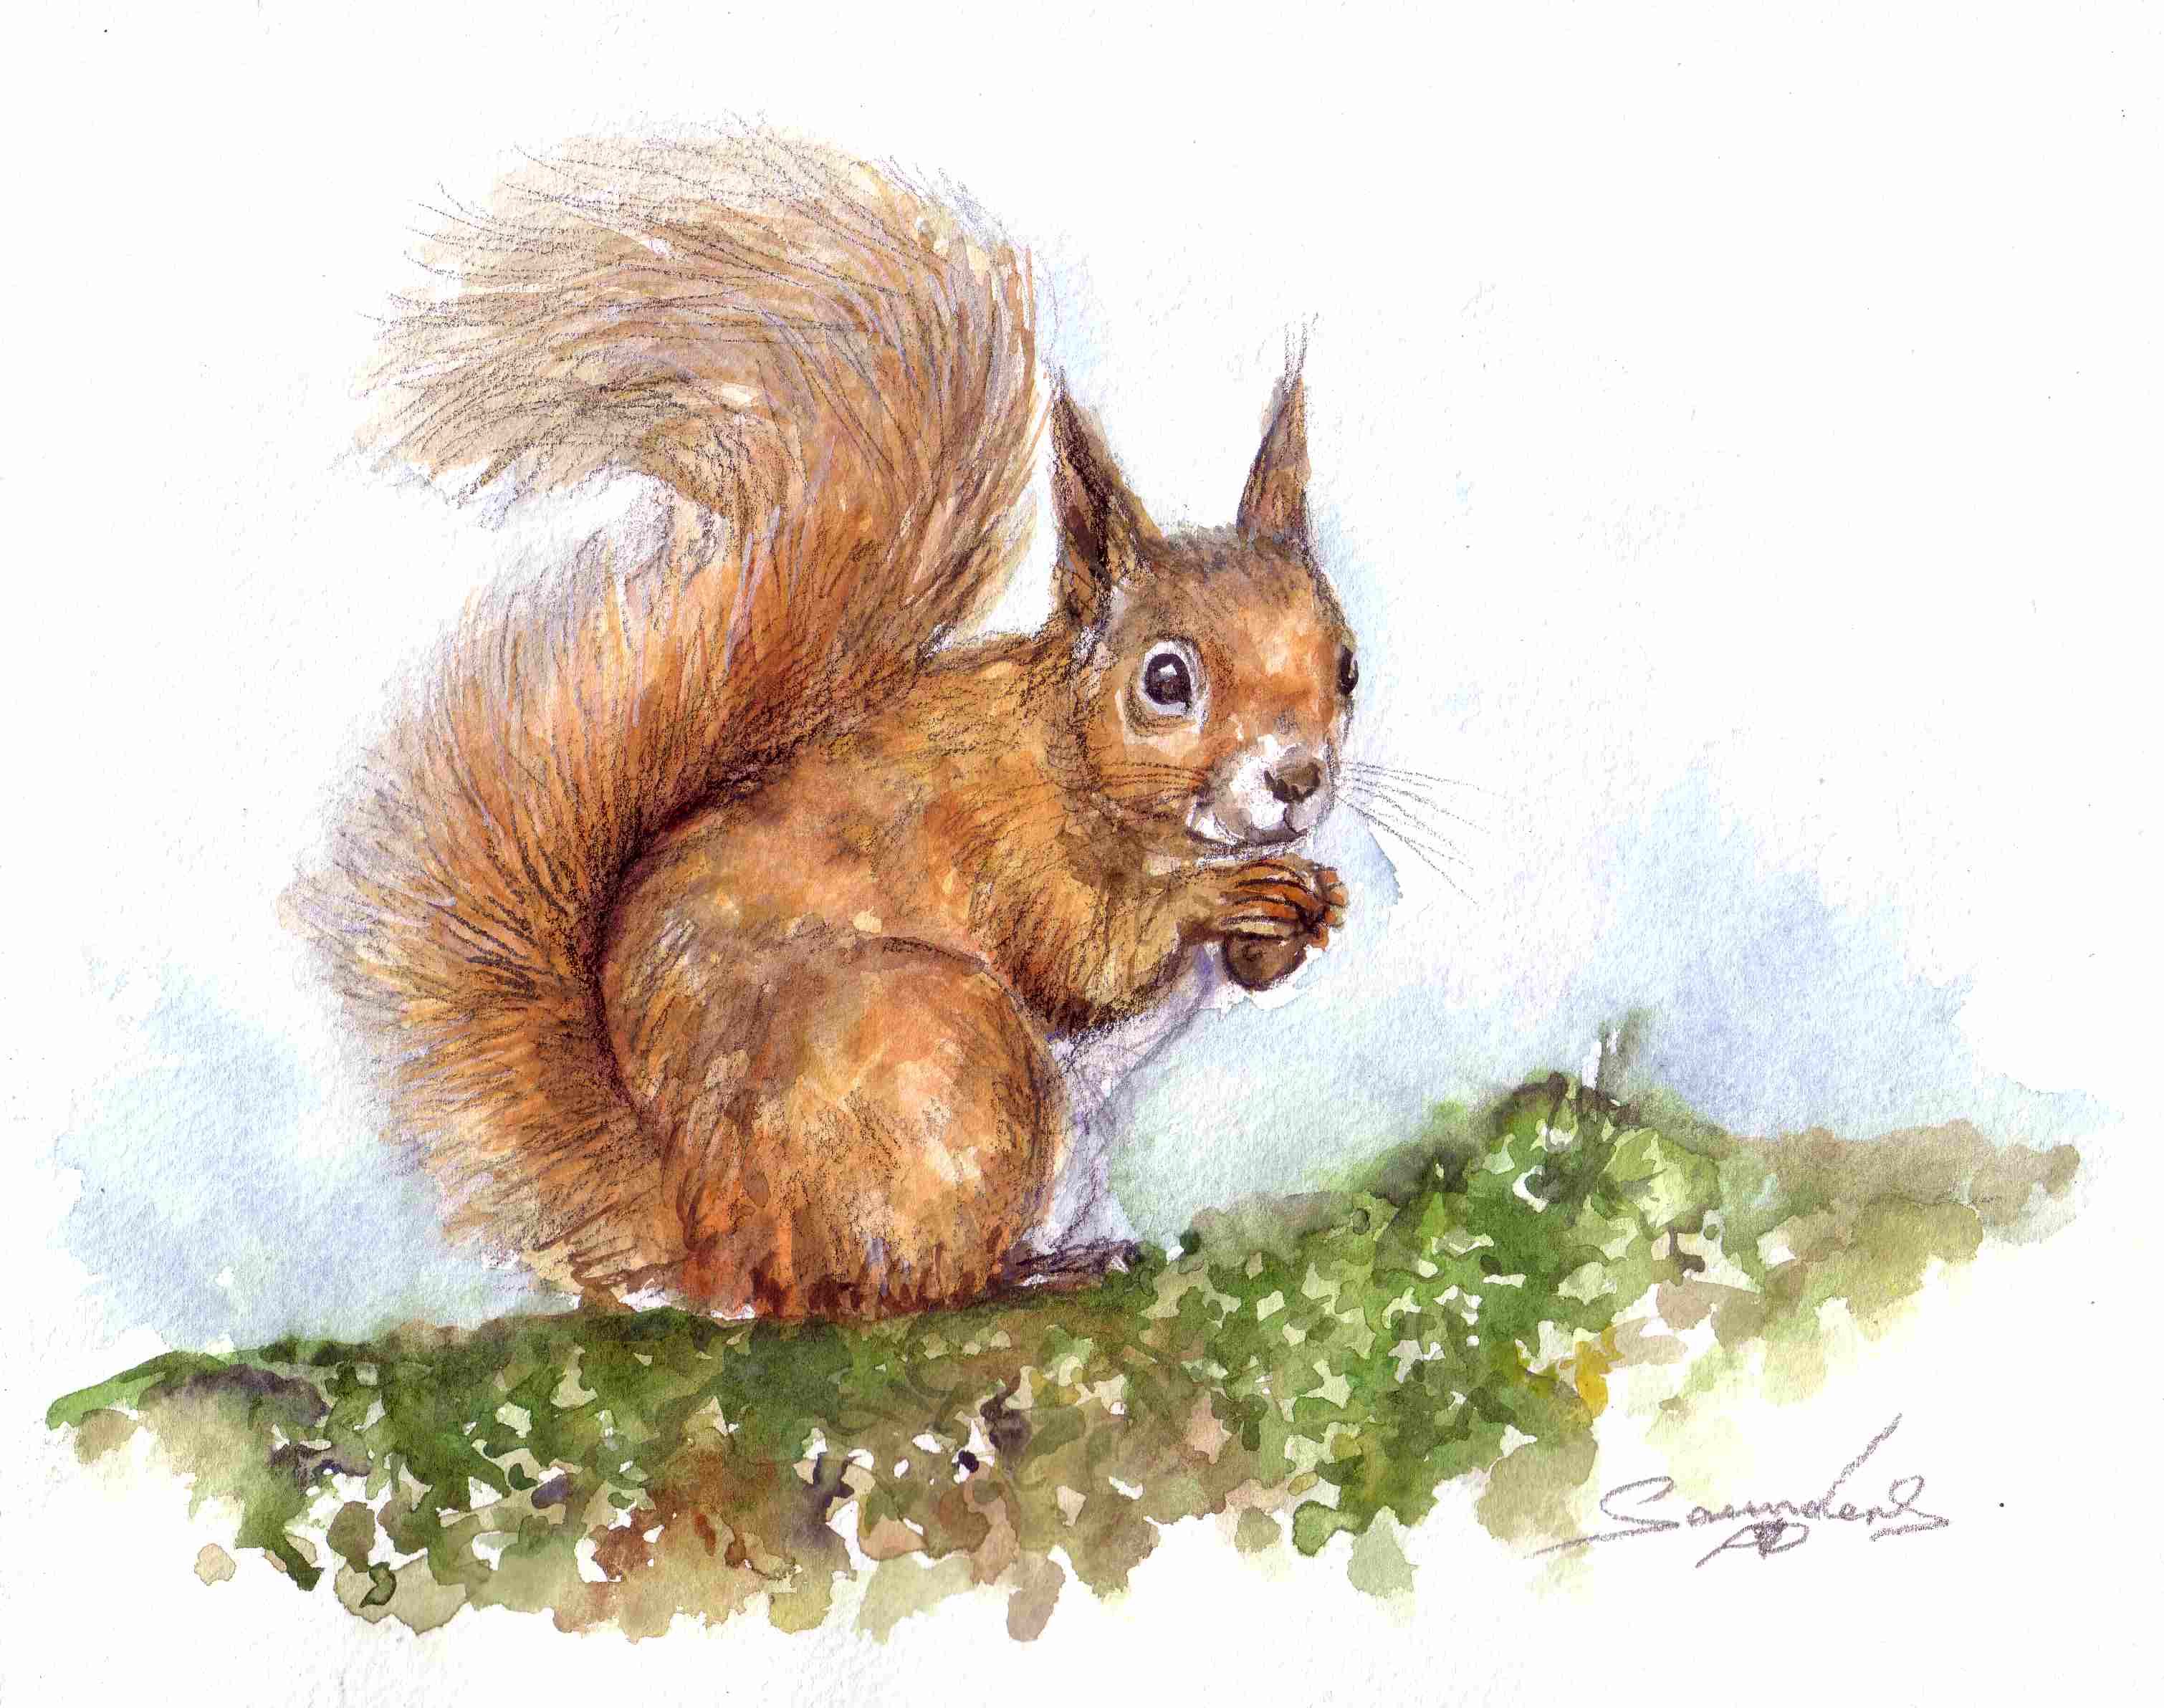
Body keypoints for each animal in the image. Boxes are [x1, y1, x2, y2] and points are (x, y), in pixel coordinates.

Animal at [293, 133, 1359, 1320]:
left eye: (1349, 666)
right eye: (1166, 681)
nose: (1298, 778)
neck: (1072, 754)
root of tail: (712, 1234)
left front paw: (1308, 910)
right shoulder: (1011, 847)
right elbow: (1082, 960)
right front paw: (1215, 902)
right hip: (940, 1050)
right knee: (885, 1288)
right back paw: (1022, 1270)